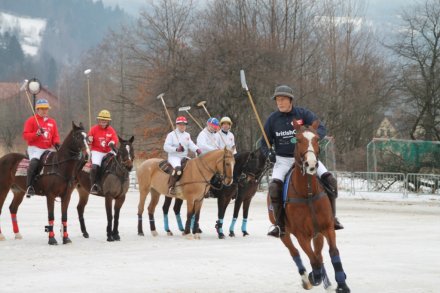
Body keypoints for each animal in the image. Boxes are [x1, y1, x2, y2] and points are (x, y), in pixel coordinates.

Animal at [268, 120, 350, 290]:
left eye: (317, 139)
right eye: (298, 140)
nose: (311, 164)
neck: (308, 193)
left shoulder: (327, 227)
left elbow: (332, 252)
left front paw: (342, 284)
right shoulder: (301, 235)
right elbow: (313, 259)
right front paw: (314, 277)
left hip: (317, 233)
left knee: (319, 253)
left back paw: (327, 282)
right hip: (285, 233)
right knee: (295, 253)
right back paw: (307, 279)